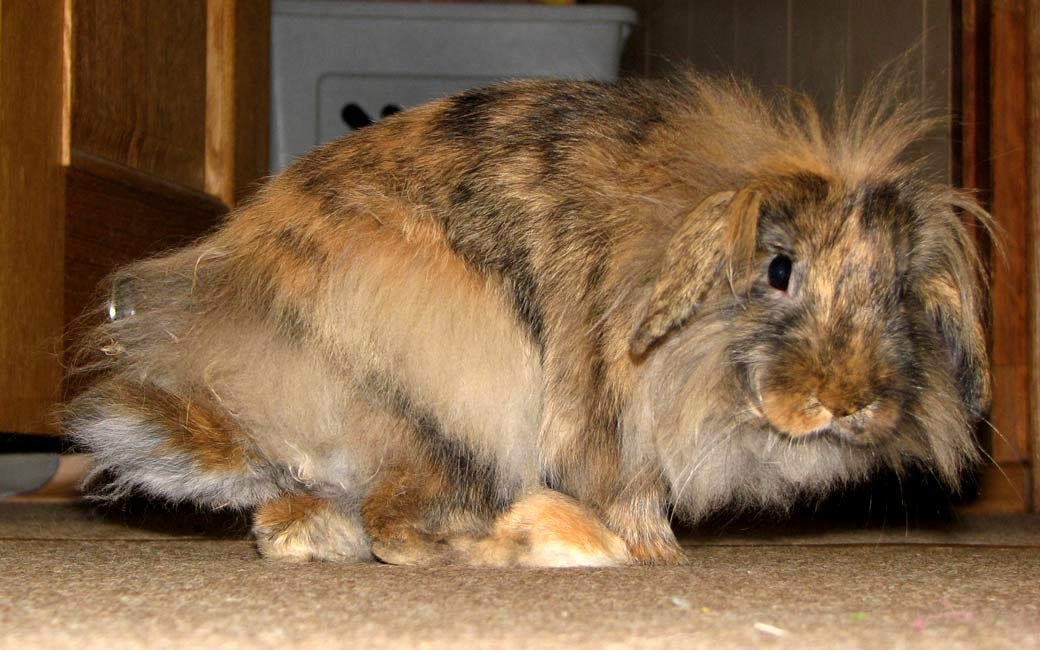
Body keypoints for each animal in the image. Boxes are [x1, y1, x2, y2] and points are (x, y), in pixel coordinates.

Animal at [63, 72, 991, 567]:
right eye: (778, 271)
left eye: (898, 290)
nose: (850, 402)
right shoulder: (610, 432)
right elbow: (633, 495)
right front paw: (655, 555)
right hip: (460, 394)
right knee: (398, 529)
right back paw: (532, 544)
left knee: (298, 524)